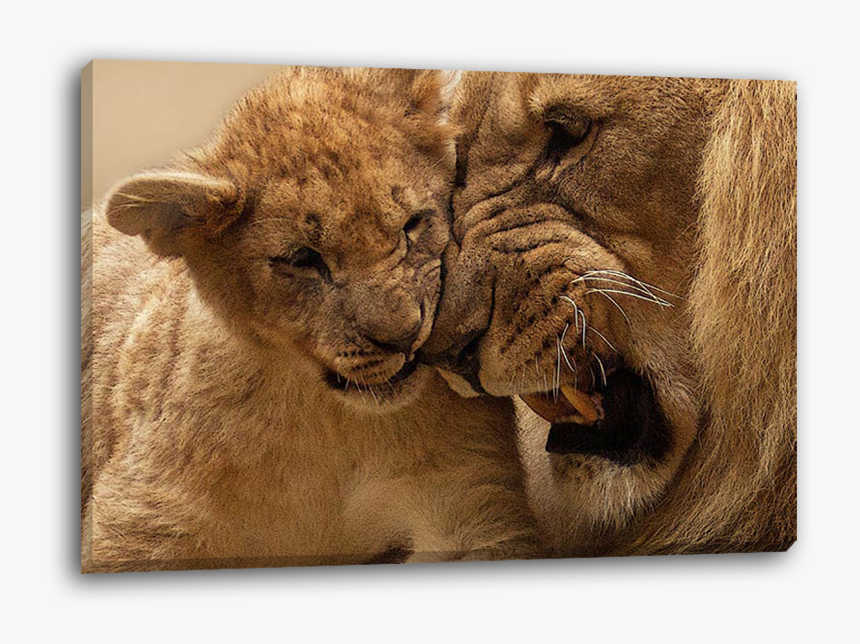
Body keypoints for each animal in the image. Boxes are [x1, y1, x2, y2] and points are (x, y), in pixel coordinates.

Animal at [81, 66, 541, 572]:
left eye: (413, 224)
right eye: (302, 259)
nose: (404, 338)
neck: (328, 423)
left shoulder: (467, 501)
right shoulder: (141, 526)